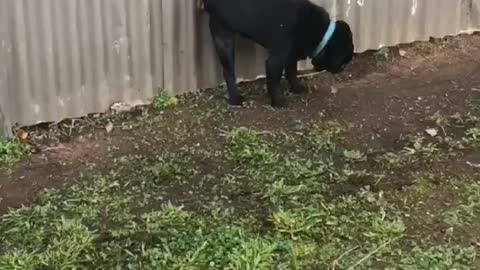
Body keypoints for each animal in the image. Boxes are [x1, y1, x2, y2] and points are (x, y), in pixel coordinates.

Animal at [201, 0, 354, 107]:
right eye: (344, 61)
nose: (342, 69)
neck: (321, 33)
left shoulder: (291, 55)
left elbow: (292, 73)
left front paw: (297, 88)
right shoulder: (276, 60)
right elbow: (274, 82)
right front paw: (279, 102)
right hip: (223, 37)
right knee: (229, 72)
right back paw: (235, 99)